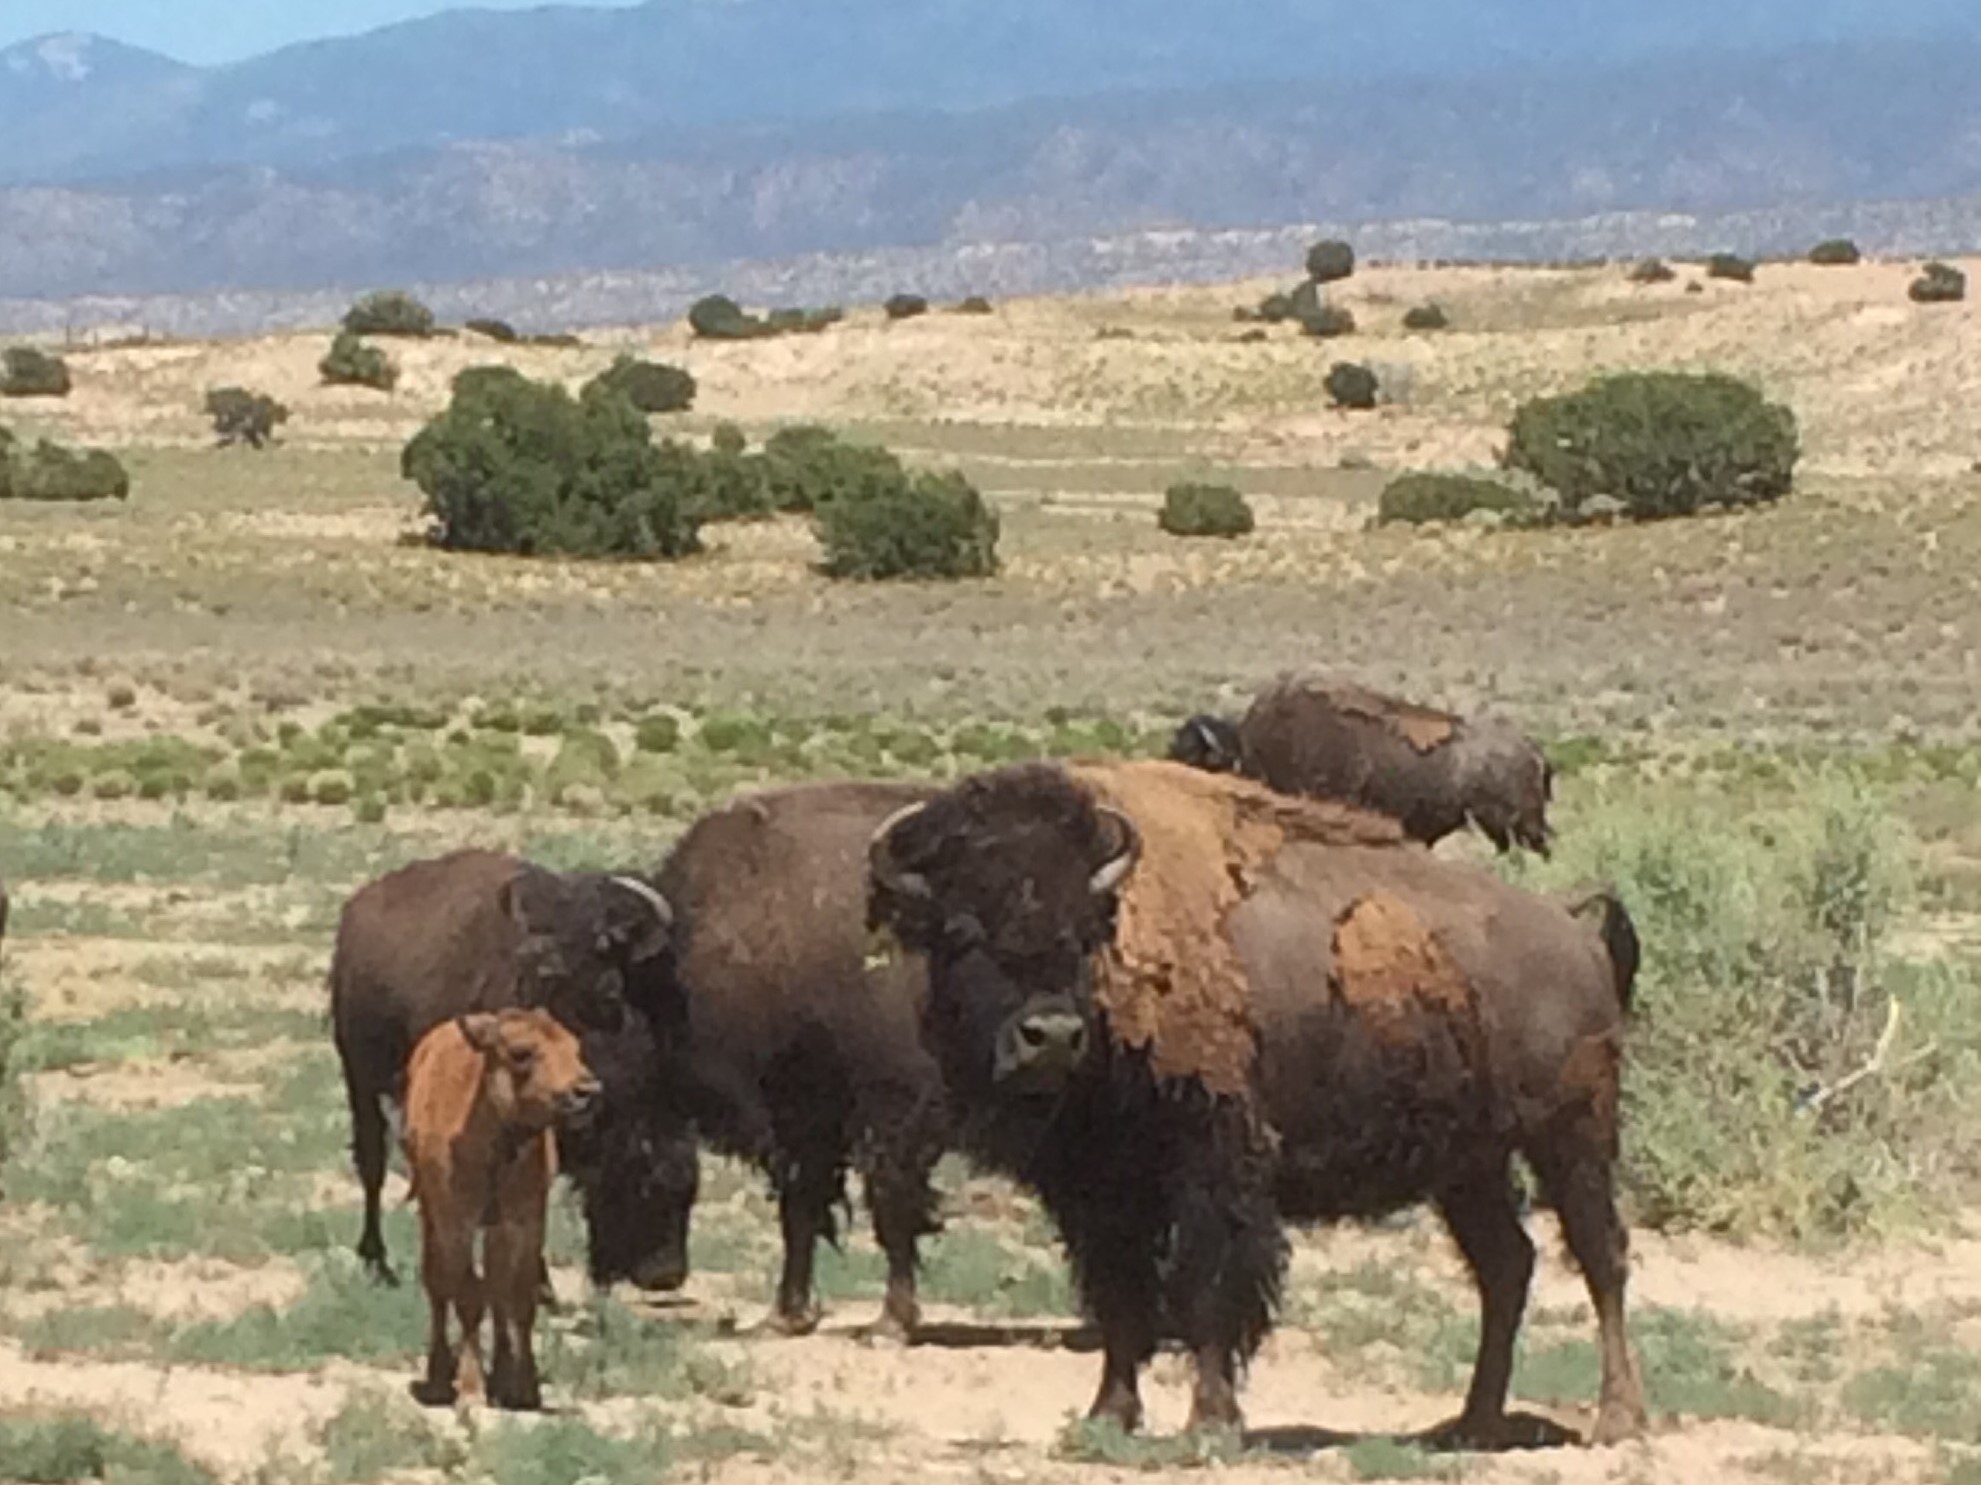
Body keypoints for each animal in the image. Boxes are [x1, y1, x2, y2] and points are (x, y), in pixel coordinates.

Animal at [328, 849, 694, 1292]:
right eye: (641, 1184)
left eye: (604, 942)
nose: (666, 1275)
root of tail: (356, 911)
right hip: (359, 1078)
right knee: (372, 1162)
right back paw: (378, 1262)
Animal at [639, 779, 949, 1337]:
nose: (660, 1276)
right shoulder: (804, 1116)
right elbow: (801, 1209)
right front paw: (788, 1315)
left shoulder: (892, 1107)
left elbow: (890, 1203)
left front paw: (890, 1323)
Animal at [867, 760, 1644, 1445]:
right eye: (961, 929)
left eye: (1085, 930)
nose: (1051, 1036)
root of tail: (1572, 926)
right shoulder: (1097, 1192)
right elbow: (1119, 1297)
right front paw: (1106, 1417)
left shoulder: (1217, 1170)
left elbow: (1207, 1289)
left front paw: (1209, 1422)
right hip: (1469, 1166)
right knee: (1505, 1265)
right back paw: (1472, 1422)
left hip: (1572, 1137)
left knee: (1600, 1257)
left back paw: (1614, 1420)